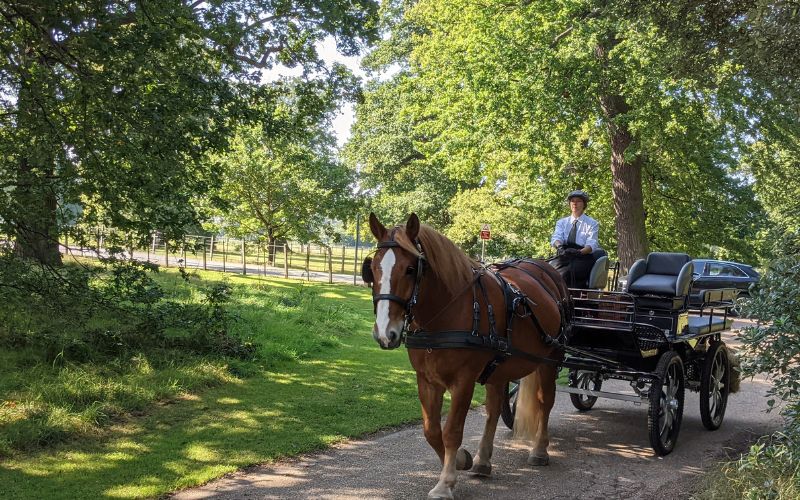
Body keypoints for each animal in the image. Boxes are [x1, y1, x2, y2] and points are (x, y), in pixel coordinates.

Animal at [362, 213, 568, 498]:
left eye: (410, 269)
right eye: (373, 270)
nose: (385, 333)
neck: (447, 311)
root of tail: (547, 271)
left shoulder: (463, 381)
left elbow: (451, 431)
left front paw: (445, 483)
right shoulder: (426, 380)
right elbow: (432, 431)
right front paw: (460, 460)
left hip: (551, 359)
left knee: (545, 402)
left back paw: (539, 450)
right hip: (500, 368)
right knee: (494, 409)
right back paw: (483, 460)